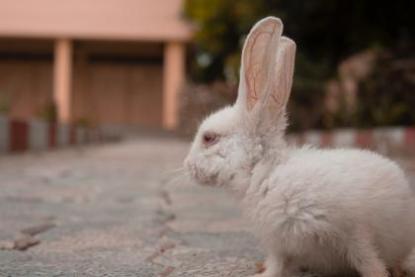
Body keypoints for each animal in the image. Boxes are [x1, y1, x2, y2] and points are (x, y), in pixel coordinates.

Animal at [185, 16, 415, 274]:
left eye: (208, 138)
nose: (187, 166)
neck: (266, 174)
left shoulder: (354, 231)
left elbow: (367, 260)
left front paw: (378, 274)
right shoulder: (279, 244)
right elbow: (277, 264)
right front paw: (264, 274)